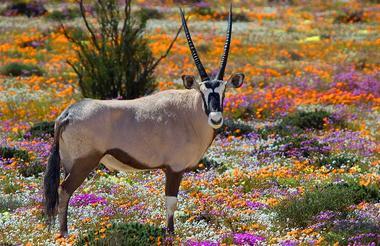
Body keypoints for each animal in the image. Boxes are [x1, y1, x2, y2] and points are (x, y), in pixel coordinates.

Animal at [43, 6, 243, 236]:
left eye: (223, 91)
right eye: (202, 91)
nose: (215, 117)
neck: (190, 112)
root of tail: (67, 114)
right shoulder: (174, 169)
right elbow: (171, 202)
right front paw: (170, 234)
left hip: (69, 163)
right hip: (84, 163)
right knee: (64, 189)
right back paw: (64, 233)